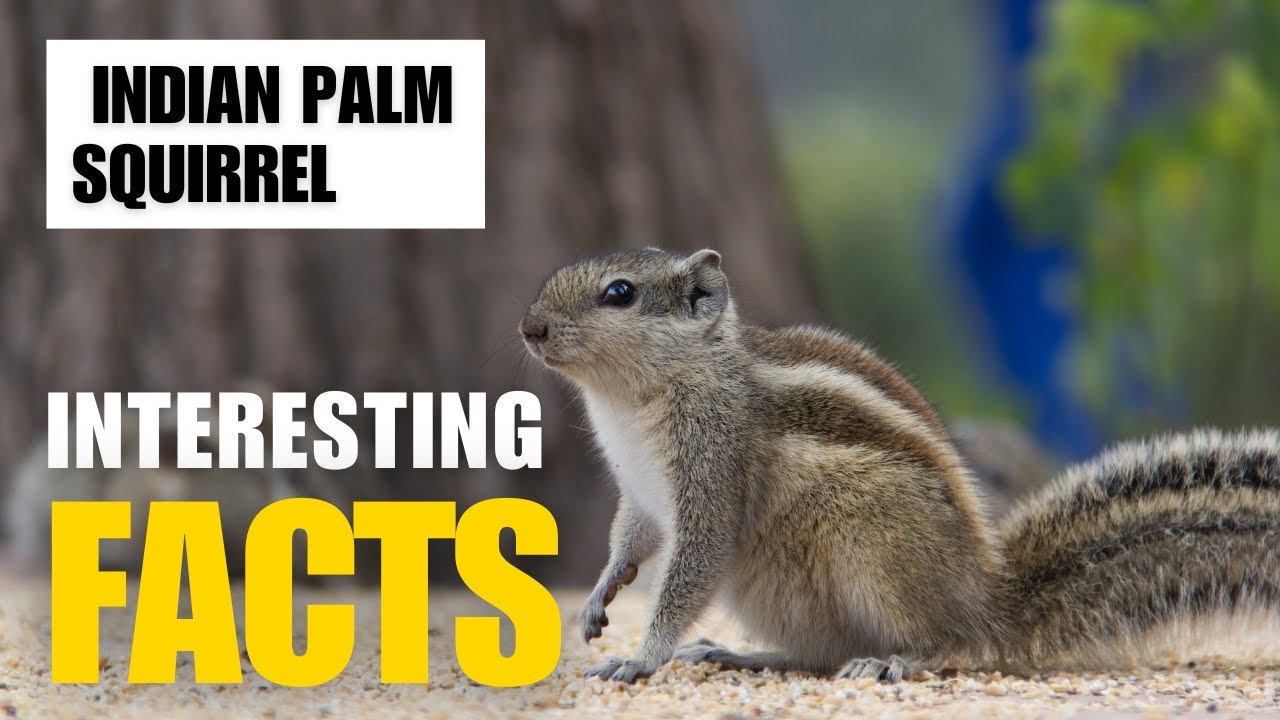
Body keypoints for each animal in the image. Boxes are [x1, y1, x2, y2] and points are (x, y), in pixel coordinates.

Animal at [518, 248, 1280, 683]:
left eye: (619, 293)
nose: (529, 327)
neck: (633, 400)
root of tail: (989, 595)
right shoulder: (642, 491)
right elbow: (629, 540)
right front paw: (598, 599)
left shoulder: (712, 476)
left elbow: (685, 571)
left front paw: (641, 658)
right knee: (821, 654)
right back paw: (742, 654)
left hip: (872, 546)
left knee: (944, 642)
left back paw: (897, 658)